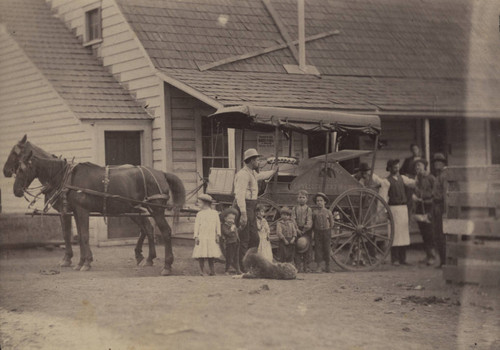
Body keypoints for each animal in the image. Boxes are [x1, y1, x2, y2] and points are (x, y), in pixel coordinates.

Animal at [8, 141, 185, 274]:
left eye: (22, 168)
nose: (16, 190)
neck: (67, 177)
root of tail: (161, 173)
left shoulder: (81, 211)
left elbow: (84, 236)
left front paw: (84, 263)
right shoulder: (75, 212)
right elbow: (79, 236)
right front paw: (80, 262)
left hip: (156, 209)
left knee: (165, 231)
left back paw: (167, 266)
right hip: (137, 209)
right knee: (148, 228)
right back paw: (148, 259)